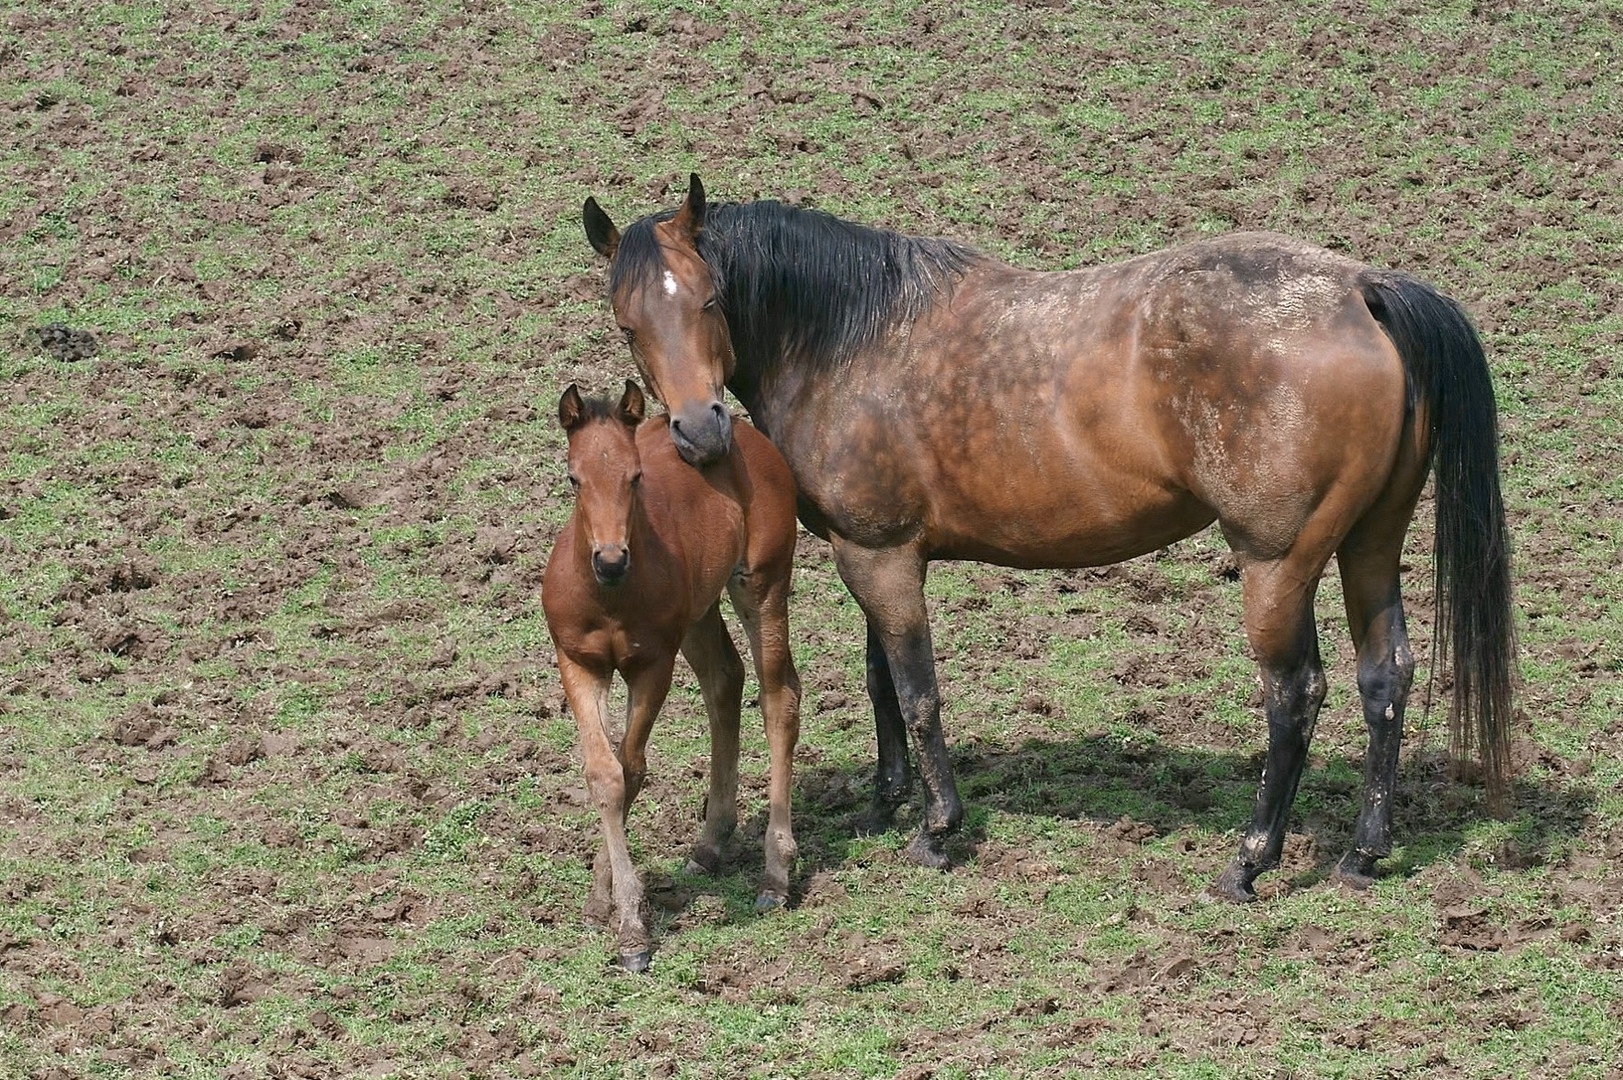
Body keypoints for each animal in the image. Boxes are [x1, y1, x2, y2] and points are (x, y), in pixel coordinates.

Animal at [542, 378, 801, 967]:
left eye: (636, 476)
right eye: (573, 478)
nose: (611, 560)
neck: (610, 598)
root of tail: (746, 433)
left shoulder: (651, 665)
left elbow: (631, 770)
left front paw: (632, 928)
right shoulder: (579, 664)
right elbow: (604, 774)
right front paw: (602, 904)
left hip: (762, 585)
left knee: (779, 697)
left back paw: (775, 876)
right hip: (699, 613)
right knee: (725, 680)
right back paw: (709, 845)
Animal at [577, 174, 1512, 902]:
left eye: (708, 300)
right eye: (627, 322)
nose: (699, 433)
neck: (852, 336)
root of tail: (1360, 289)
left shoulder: (879, 556)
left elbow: (916, 690)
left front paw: (936, 827)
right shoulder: (867, 550)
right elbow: (882, 682)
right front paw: (884, 801)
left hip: (1275, 564)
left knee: (1295, 694)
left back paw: (1249, 861)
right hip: (1368, 546)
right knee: (1383, 677)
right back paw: (1362, 852)